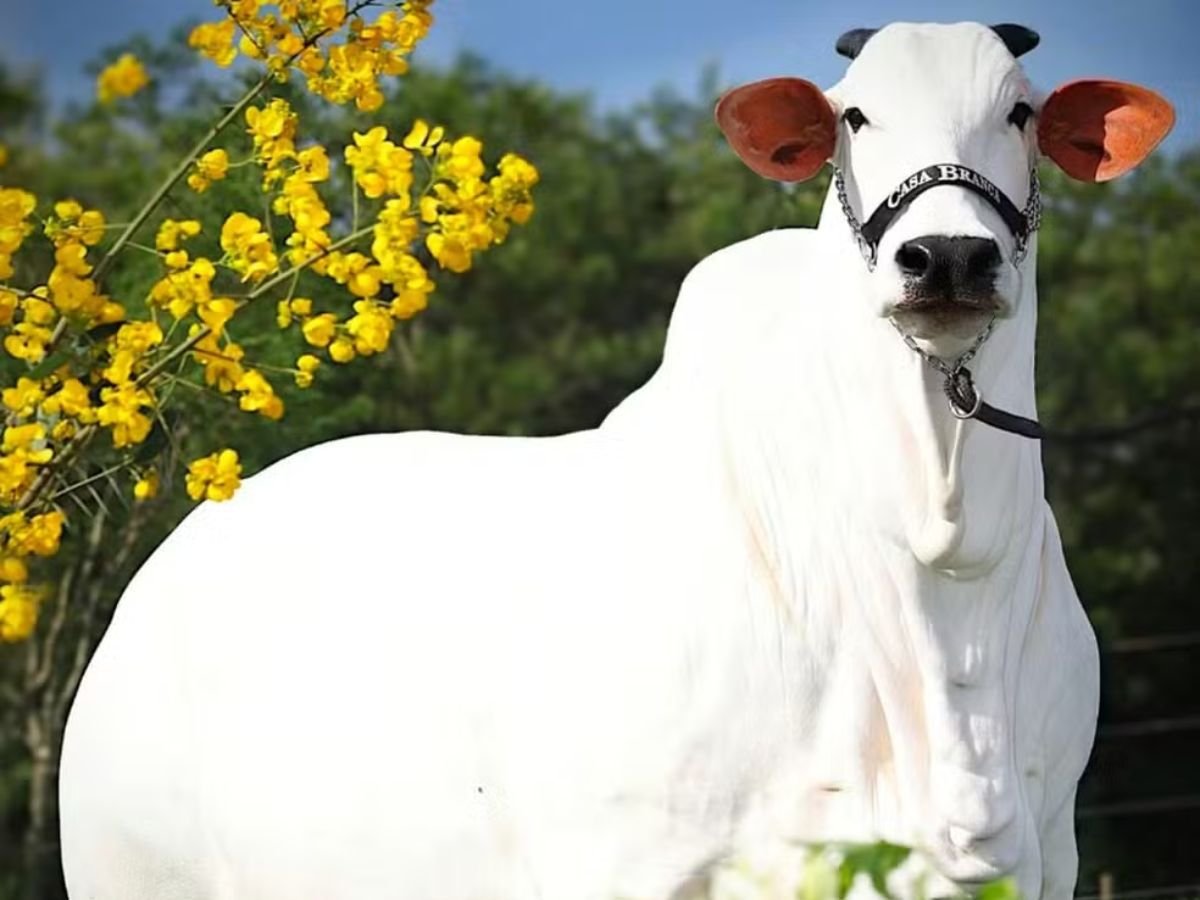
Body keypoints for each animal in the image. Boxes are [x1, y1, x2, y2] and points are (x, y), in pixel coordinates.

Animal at [58, 21, 1171, 900]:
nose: (947, 258)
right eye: (855, 117)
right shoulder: (625, 862)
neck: (939, 560)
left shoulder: (1045, 858)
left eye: (1021, 113)